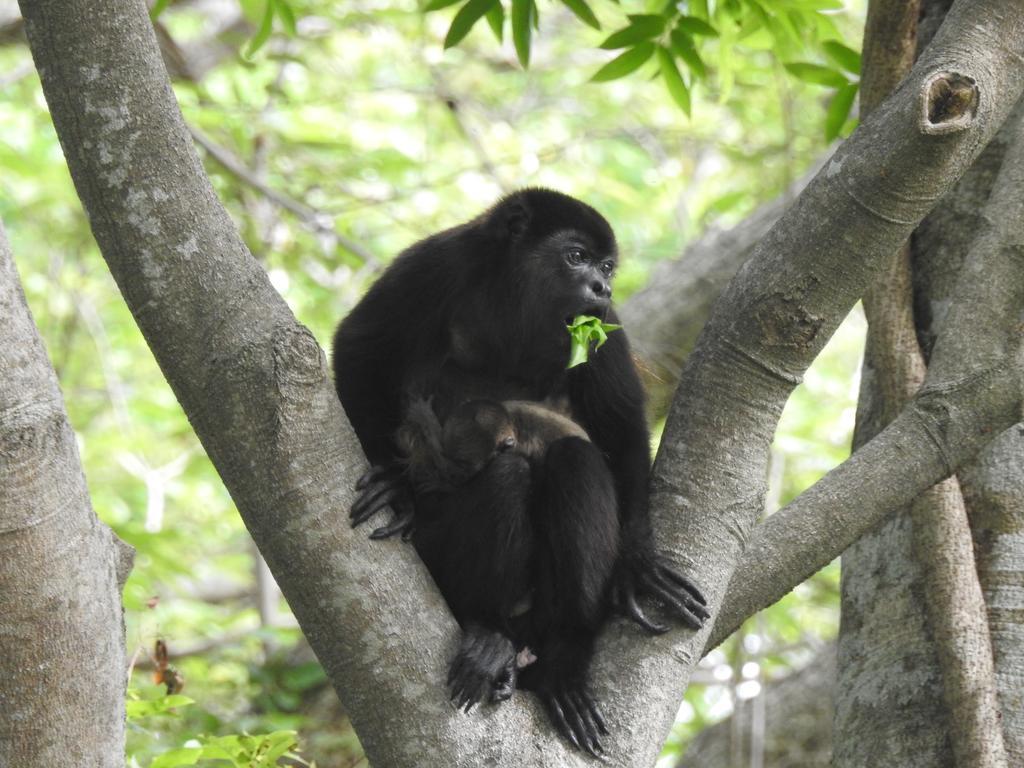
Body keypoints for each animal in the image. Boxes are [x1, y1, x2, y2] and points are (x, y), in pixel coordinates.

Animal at [331, 189, 708, 753]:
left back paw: (559, 664)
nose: (601, 285)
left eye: (606, 267)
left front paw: (637, 562)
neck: (511, 306)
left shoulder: (606, 323)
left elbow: (618, 426)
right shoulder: (430, 266)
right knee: (509, 477)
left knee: (576, 462)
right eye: (576, 256)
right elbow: (358, 350)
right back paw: (487, 634)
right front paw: (397, 482)